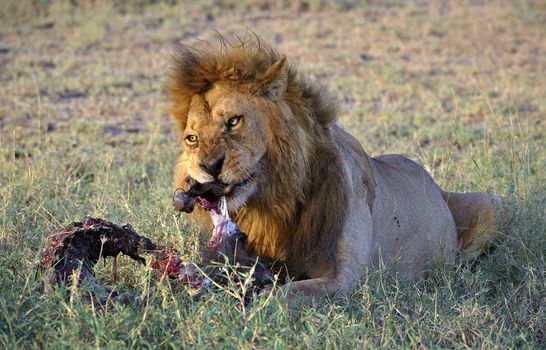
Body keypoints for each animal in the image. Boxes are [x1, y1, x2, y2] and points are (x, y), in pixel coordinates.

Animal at [165, 36, 502, 298]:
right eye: (192, 138)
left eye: (234, 121)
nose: (209, 166)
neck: (276, 200)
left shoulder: (346, 279)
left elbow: (285, 294)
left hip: (495, 203)